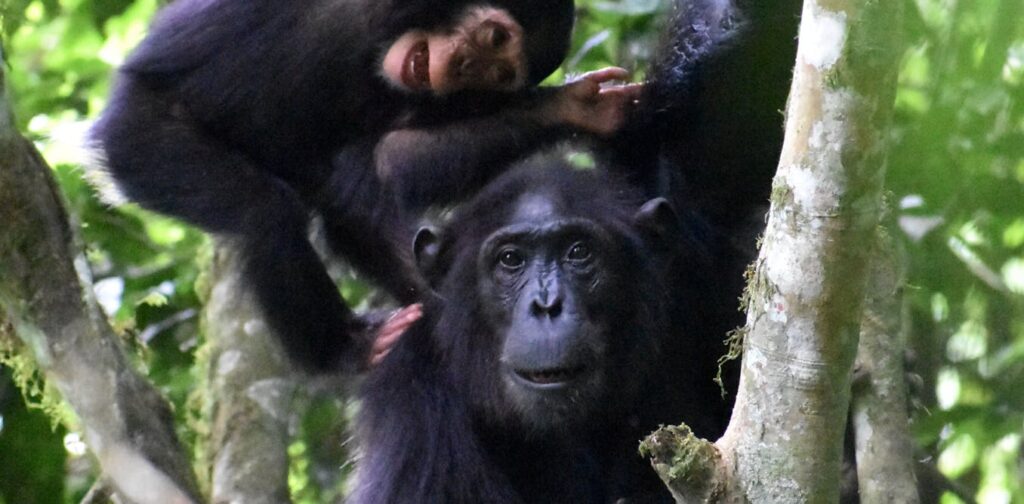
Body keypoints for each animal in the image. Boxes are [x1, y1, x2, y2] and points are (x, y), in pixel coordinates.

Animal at [94, 0, 638, 370]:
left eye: (499, 72)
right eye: (494, 38)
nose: (468, 67)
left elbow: (385, 158)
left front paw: (575, 106)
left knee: (350, 207)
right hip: (139, 144)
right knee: (265, 211)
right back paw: (344, 349)